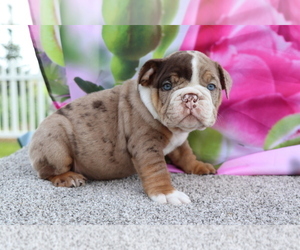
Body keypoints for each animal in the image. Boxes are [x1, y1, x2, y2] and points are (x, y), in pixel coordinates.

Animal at [29, 50, 232, 205]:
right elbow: (158, 170)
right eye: (167, 86)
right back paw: (67, 177)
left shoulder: (179, 142)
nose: (190, 96)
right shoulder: (147, 146)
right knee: (47, 172)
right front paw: (167, 193)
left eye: (211, 86)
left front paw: (198, 166)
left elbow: (186, 155)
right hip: (55, 140)